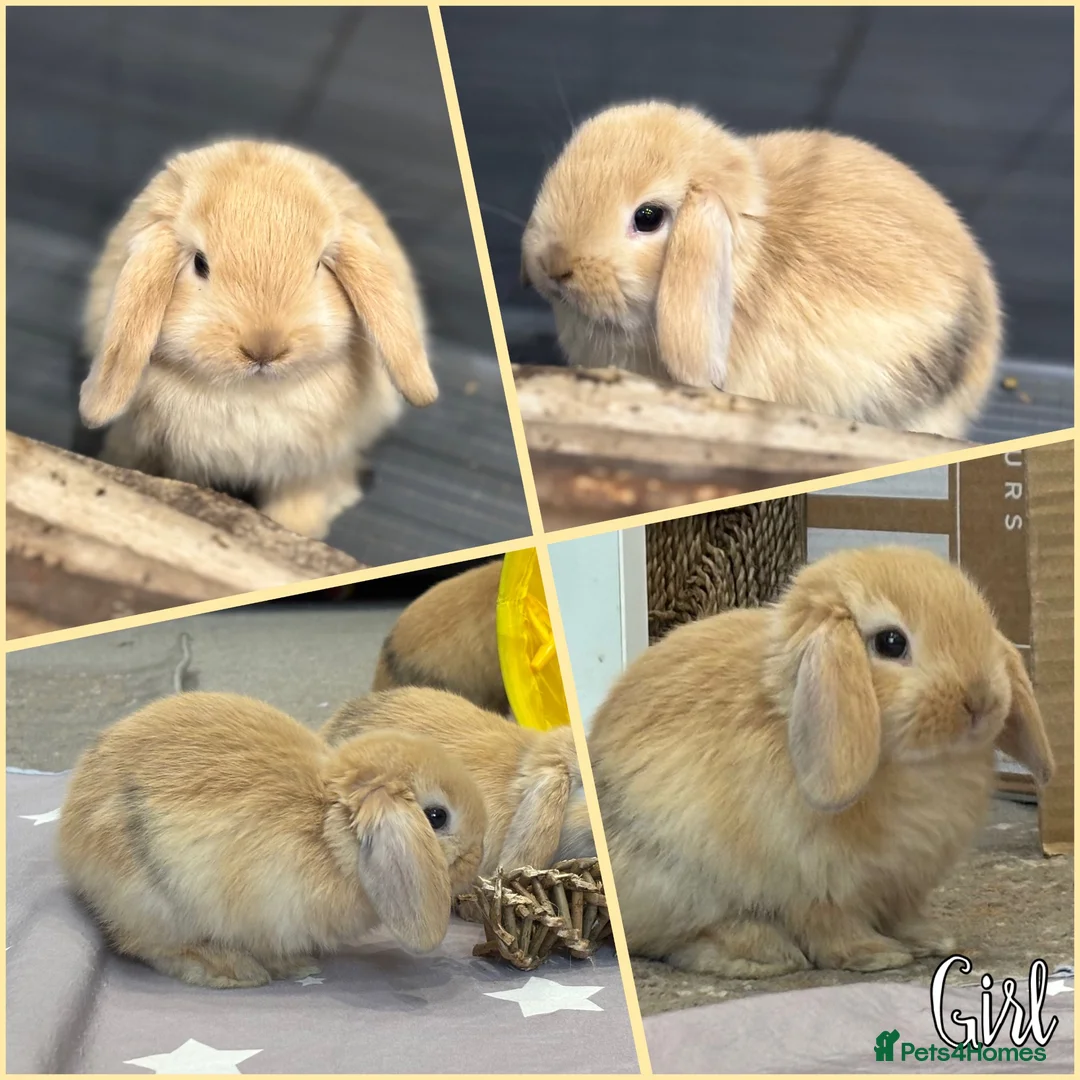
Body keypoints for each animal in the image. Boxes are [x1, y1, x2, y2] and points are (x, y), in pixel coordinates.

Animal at [57, 691, 486, 989]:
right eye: (436, 816)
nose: (476, 859)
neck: (328, 830)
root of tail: (70, 841)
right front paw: (296, 967)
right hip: (154, 901)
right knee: (145, 944)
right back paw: (232, 971)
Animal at [79, 139, 438, 540]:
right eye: (200, 263)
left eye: (318, 265)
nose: (264, 349)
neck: (252, 392)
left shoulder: (305, 465)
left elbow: (298, 500)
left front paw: (299, 530)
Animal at [586, 545, 1053, 977]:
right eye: (891, 642)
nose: (981, 700)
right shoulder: (818, 885)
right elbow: (833, 929)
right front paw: (877, 955)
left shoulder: (902, 884)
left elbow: (902, 917)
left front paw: (933, 939)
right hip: (678, 881)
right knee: (685, 937)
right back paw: (764, 955)